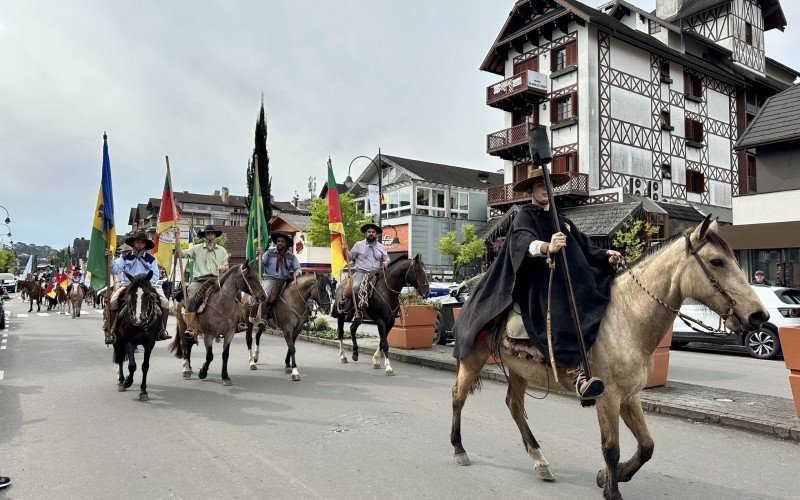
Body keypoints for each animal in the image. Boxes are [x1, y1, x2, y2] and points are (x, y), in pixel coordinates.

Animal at [111, 272, 162, 400]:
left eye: (147, 294)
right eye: (131, 294)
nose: (139, 319)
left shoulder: (150, 344)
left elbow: (145, 366)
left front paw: (143, 391)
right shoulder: (129, 342)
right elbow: (132, 365)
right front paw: (127, 382)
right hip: (118, 341)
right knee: (120, 358)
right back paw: (121, 381)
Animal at [450, 217, 768, 498]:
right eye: (717, 262)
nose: (758, 316)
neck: (628, 320)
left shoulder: (630, 396)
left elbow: (647, 446)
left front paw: (608, 476)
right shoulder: (608, 396)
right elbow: (611, 448)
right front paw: (612, 490)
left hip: (518, 369)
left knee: (514, 405)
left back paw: (540, 461)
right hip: (472, 358)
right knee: (459, 397)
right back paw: (459, 449)